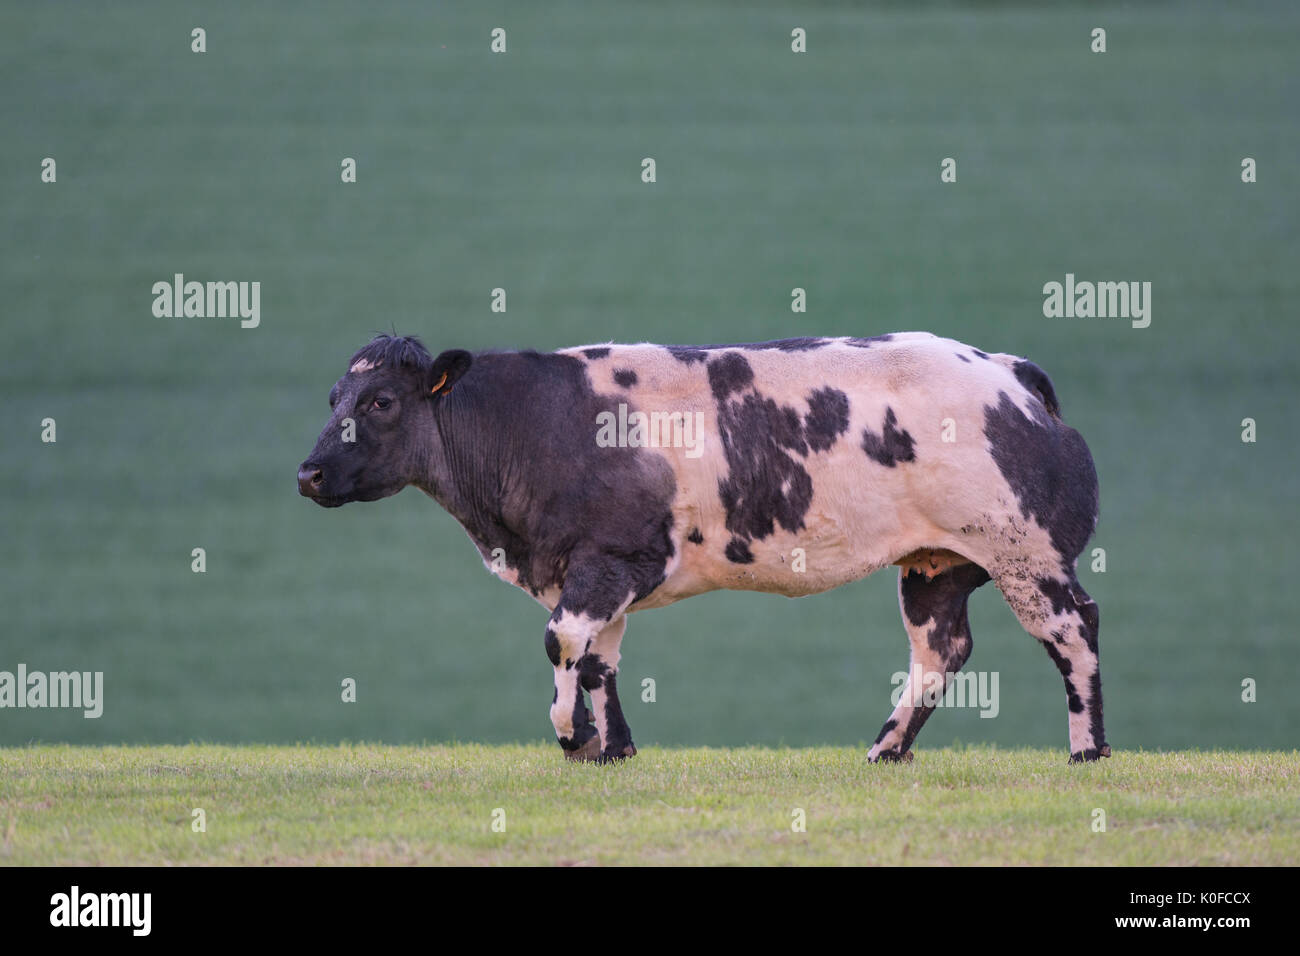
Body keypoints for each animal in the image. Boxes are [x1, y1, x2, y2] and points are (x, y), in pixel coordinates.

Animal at [297, 332, 1107, 764]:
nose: (307, 474)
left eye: (380, 402)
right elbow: (599, 657)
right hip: (936, 566)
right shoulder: (602, 570)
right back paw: (885, 750)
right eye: (333, 398)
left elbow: (562, 641)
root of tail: (1005, 368)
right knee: (941, 650)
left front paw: (574, 738)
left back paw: (1086, 750)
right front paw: (614, 749)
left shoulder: (612, 558)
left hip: (1026, 553)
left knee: (1073, 630)